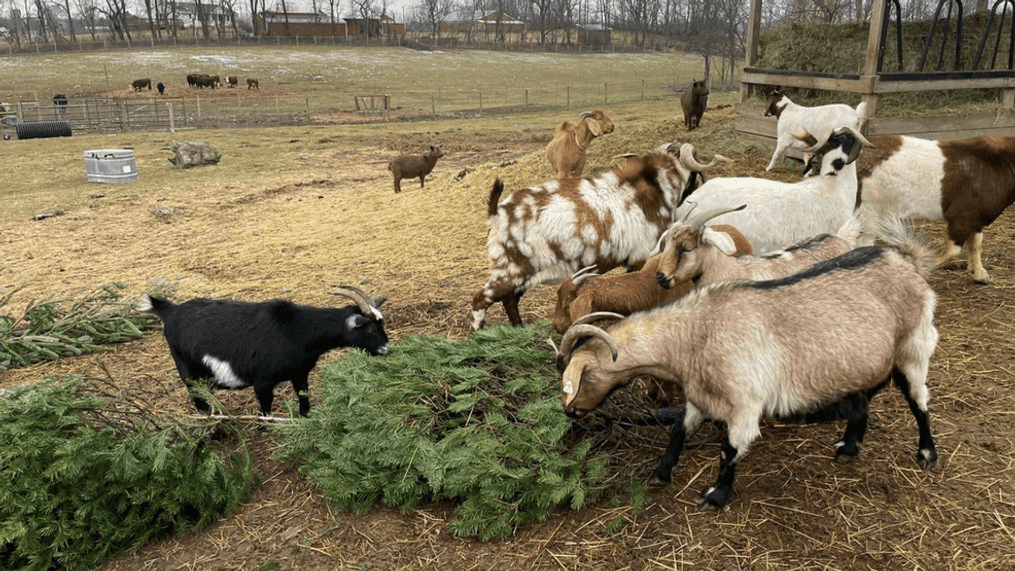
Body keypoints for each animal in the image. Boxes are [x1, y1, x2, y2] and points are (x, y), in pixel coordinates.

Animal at [137, 288, 385, 417]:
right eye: (370, 329)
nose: (385, 348)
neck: (296, 330)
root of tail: (170, 311)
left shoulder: (300, 373)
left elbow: (304, 397)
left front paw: (305, 418)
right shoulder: (263, 382)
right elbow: (265, 409)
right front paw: (265, 428)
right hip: (184, 366)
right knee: (195, 394)